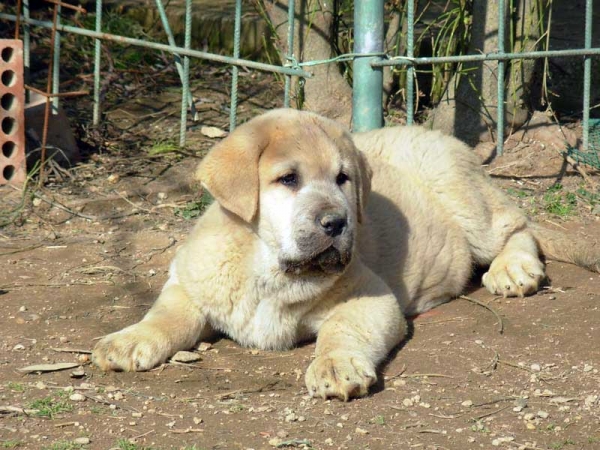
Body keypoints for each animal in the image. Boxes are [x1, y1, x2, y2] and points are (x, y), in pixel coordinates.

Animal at [91, 109, 596, 400]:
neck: (267, 267)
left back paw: (515, 269)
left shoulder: (370, 296)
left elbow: (341, 330)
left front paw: (334, 366)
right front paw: (129, 340)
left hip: (464, 199)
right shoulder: (191, 284)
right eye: (288, 179)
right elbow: (164, 315)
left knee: (517, 225)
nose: (336, 223)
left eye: (342, 179)